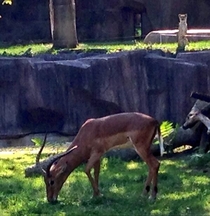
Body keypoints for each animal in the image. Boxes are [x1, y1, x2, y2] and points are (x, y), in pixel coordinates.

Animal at [37, 112, 165, 203]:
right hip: (144, 148)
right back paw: (144, 194)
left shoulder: (97, 153)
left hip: (140, 148)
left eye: (52, 181)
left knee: (155, 164)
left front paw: (98, 194)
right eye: (44, 181)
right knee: (152, 166)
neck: (86, 133)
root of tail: (154, 121)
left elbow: (87, 170)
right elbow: (96, 172)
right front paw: (95, 195)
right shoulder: (97, 157)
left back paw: (152, 196)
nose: (50, 199)